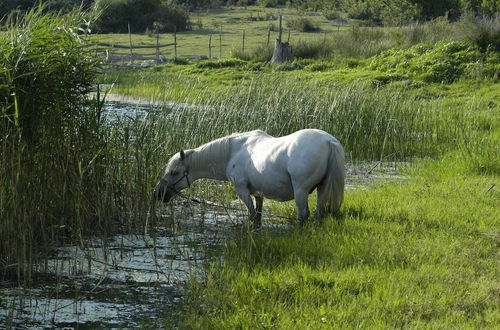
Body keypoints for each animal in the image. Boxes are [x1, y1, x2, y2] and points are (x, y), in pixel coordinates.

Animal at [154, 129, 346, 227]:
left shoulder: (242, 190)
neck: (233, 150)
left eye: (174, 172)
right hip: (322, 189)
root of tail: (329, 141)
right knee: (319, 213)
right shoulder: (258, 193)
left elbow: (252, 215)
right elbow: (258, 216)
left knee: (303, 215)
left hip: (301, 190)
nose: (158, 194)